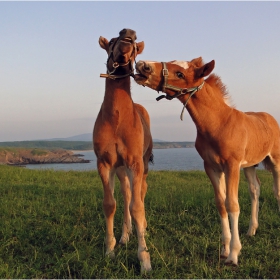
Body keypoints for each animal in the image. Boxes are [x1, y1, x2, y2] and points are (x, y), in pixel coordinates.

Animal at [135, 57, 280, 264]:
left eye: (180, 73)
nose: (143, 65)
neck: (218, 123)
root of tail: (268, 117)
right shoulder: (211, 167)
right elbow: (221, 203)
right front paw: (225, 249)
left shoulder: (232, 165)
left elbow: (232, 204)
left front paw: (234, 255)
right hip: (250, 165)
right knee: (255, 190)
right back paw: (252, 230)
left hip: (275, 160)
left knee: (277, 190)